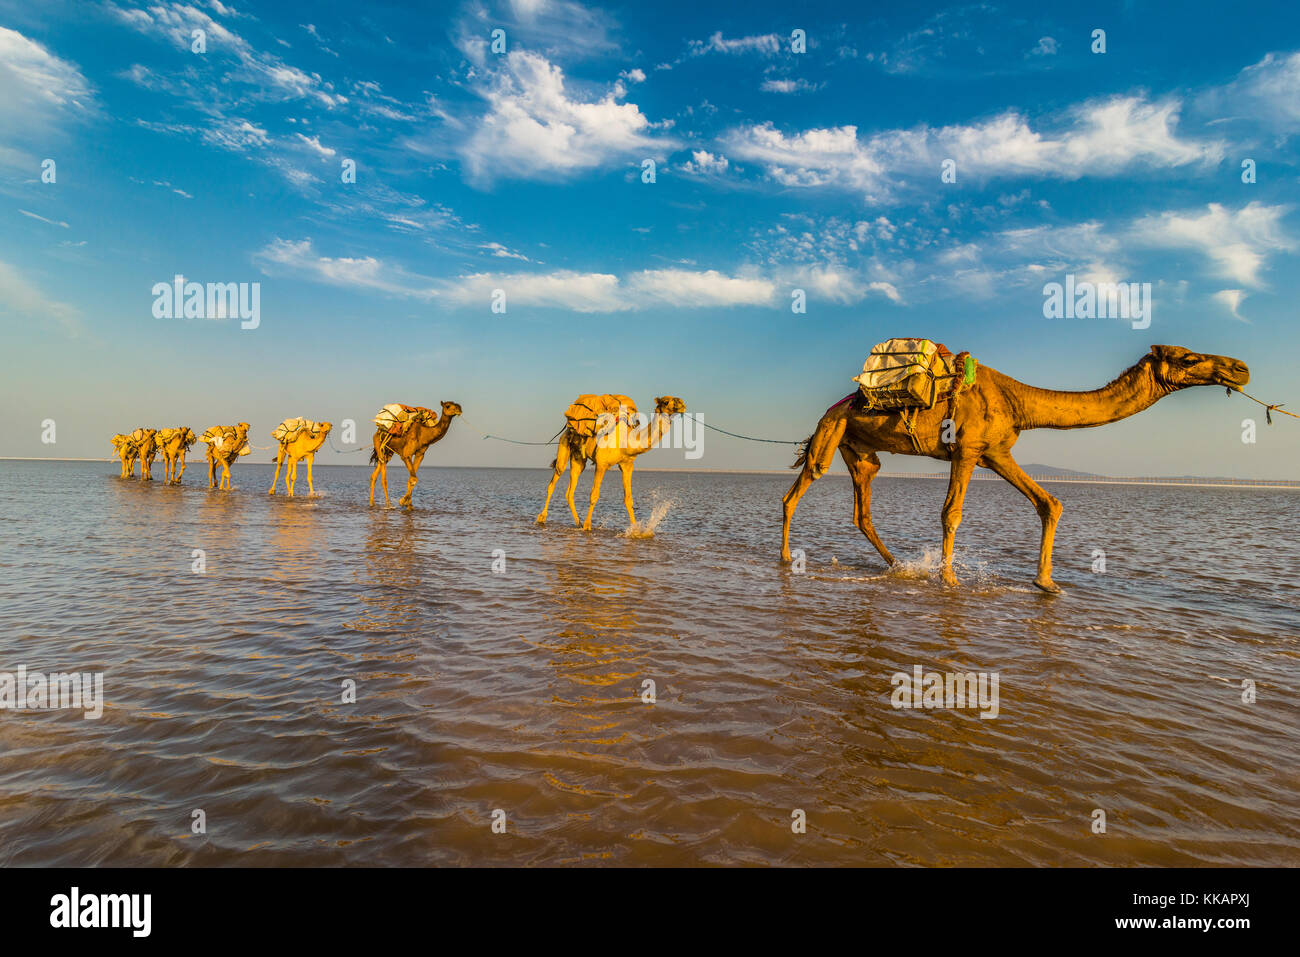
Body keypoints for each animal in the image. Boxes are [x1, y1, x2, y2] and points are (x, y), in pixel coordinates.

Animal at [535, 395, 691, 530]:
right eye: (666, 401)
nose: (682, 404)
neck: (626, 442)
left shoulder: (627, 465)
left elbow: (628, 499)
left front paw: (635, 530)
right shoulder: (601, 464)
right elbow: (594, 495)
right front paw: (588, 526)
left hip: (578, 457)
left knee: (570, 490)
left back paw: (578, 522)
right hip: (564, 445)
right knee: (554, 480)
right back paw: (542, 518)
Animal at [780, 345, 1248, 590]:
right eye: (1187, 358)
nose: (1240, 368)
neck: (1017, 401)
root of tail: (834, 407)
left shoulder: (997, 453)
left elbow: (1049, 502)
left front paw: (1047, 584)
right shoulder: (967, 449)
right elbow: (951, 514)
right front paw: (950, 580)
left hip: (859, 450)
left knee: (863, 506)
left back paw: (897, 564)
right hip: (831, 432)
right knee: (797, 489)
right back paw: (786, 557)